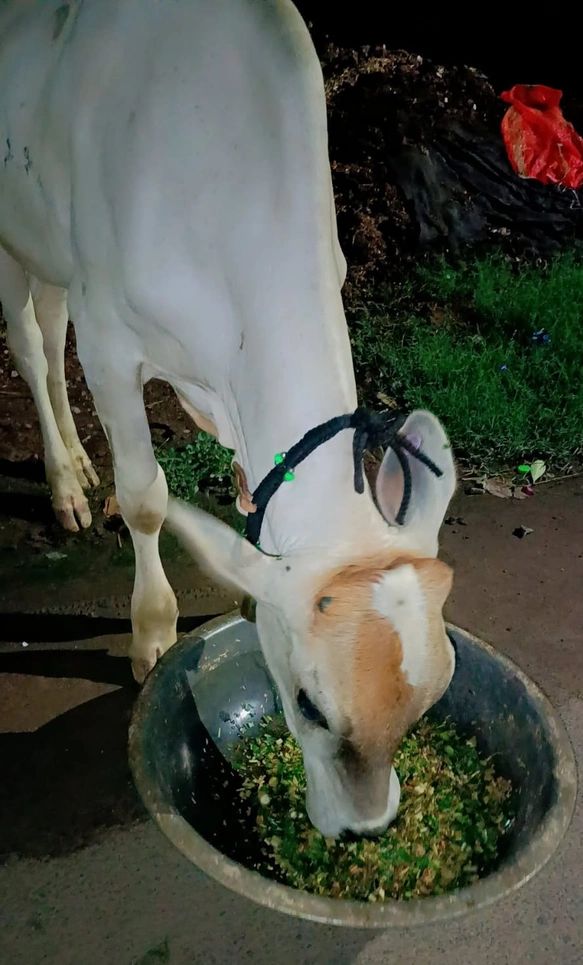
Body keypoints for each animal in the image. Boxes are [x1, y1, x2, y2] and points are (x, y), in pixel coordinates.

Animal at [0, 0, 456, 838]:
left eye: (431, 697)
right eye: (309, 706)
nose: (362, 831)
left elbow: (250, 490)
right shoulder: (109, 341)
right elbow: (146, 498)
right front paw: (152, 631)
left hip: (50, 247)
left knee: (47, 334)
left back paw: (77, 464)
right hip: (14, 240)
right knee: (29, 343)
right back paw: (66, 485)